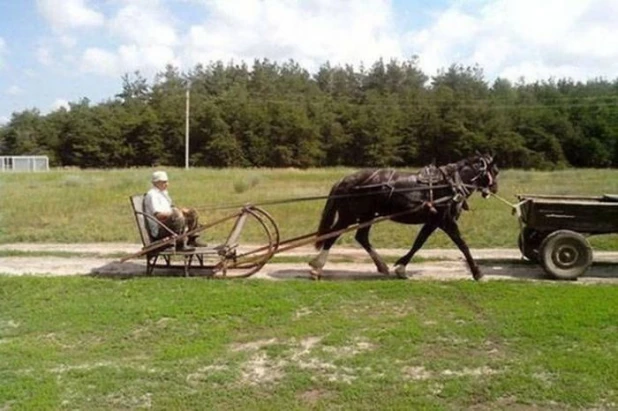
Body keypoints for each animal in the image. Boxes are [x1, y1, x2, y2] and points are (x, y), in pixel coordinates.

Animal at [306, 153, 498, 282]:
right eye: (494, 171)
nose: (495, 188)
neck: (449, 184)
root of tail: (344, 180)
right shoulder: (446, 221)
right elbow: (462, 245)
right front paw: (477, 273)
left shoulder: (433, 221)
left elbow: (418, 243)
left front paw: (401, 268)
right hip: (350, 216)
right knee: (333, 235)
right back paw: (317, 267)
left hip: (366, 216)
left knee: (361, 237)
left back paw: (381, 266)